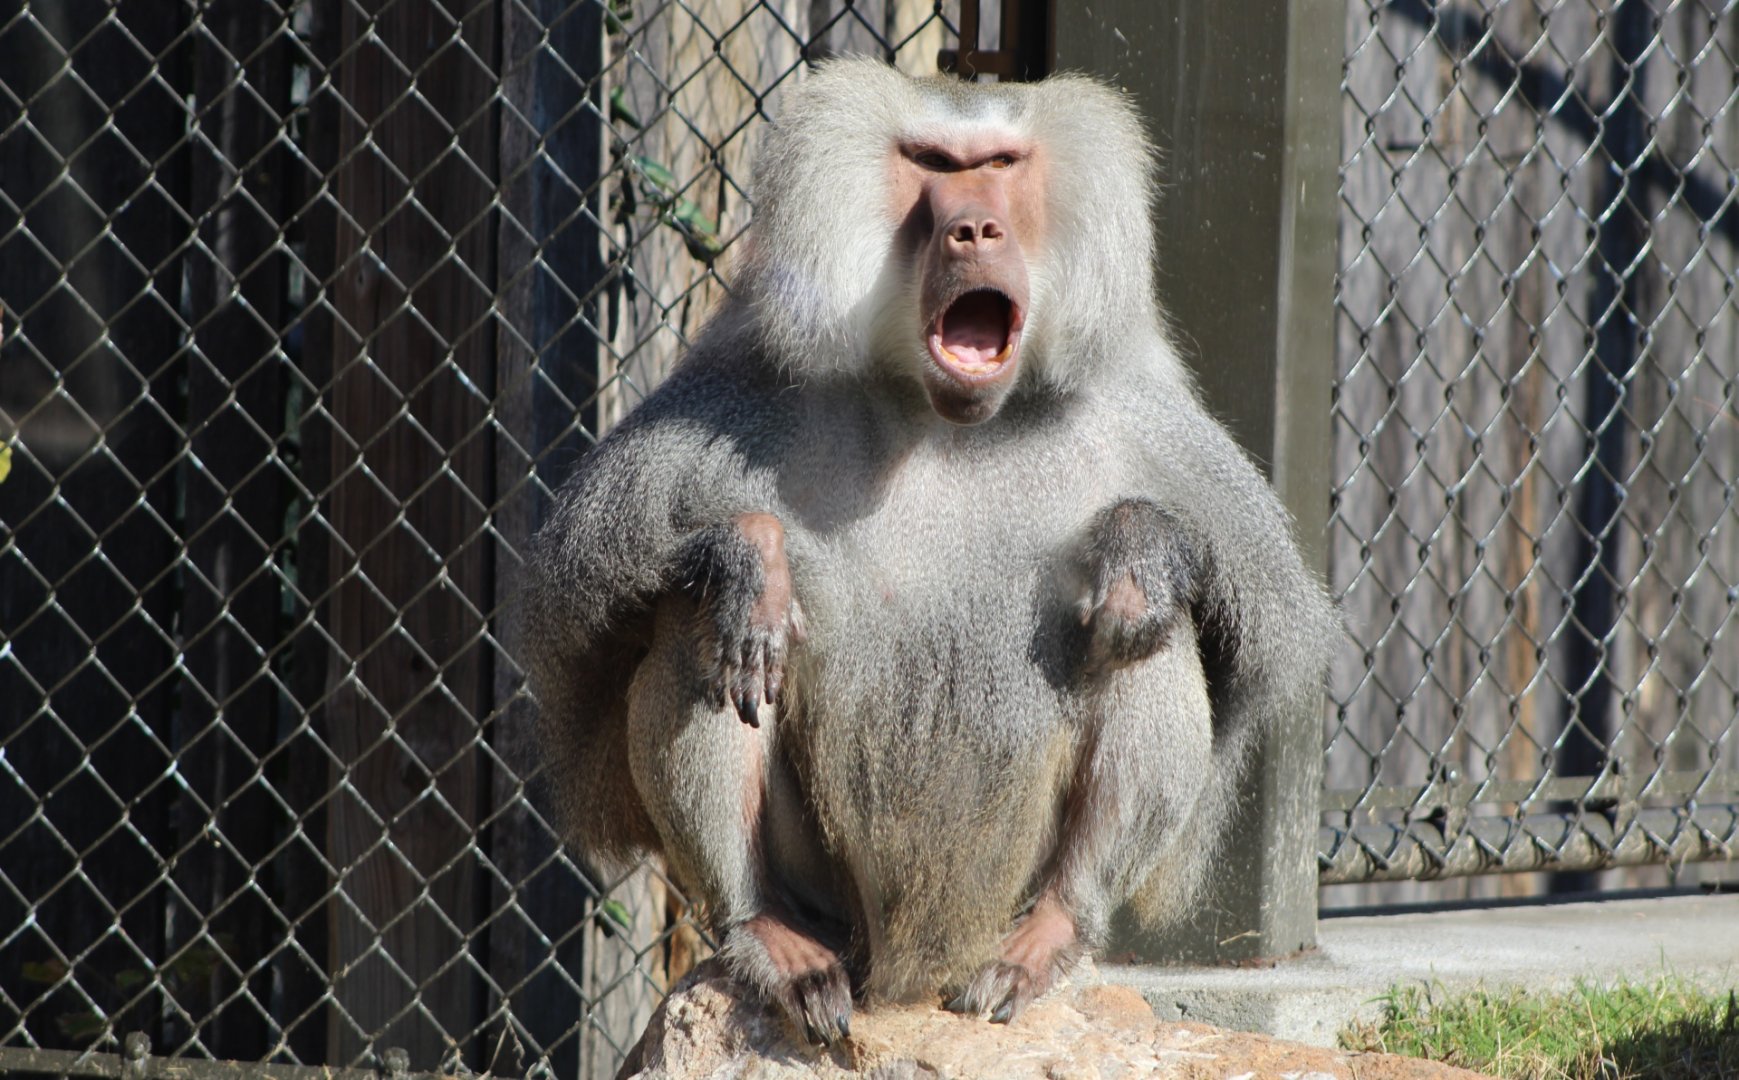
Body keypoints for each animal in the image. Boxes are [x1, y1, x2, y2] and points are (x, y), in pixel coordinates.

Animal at [524, 58, 1337, 1047]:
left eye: (998, 163)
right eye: (931, 164)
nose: (974, 226)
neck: (943, 416)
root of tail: (911, 968)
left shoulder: (1141, 415)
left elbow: (1260, 638)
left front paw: (1138, 546)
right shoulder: (731, 391)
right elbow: (583, 603)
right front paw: (748, 559)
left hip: (1008, 892)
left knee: (1149, 633)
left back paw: (1044, 939)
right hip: (825, 896)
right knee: (695, 625)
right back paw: (771, 939)